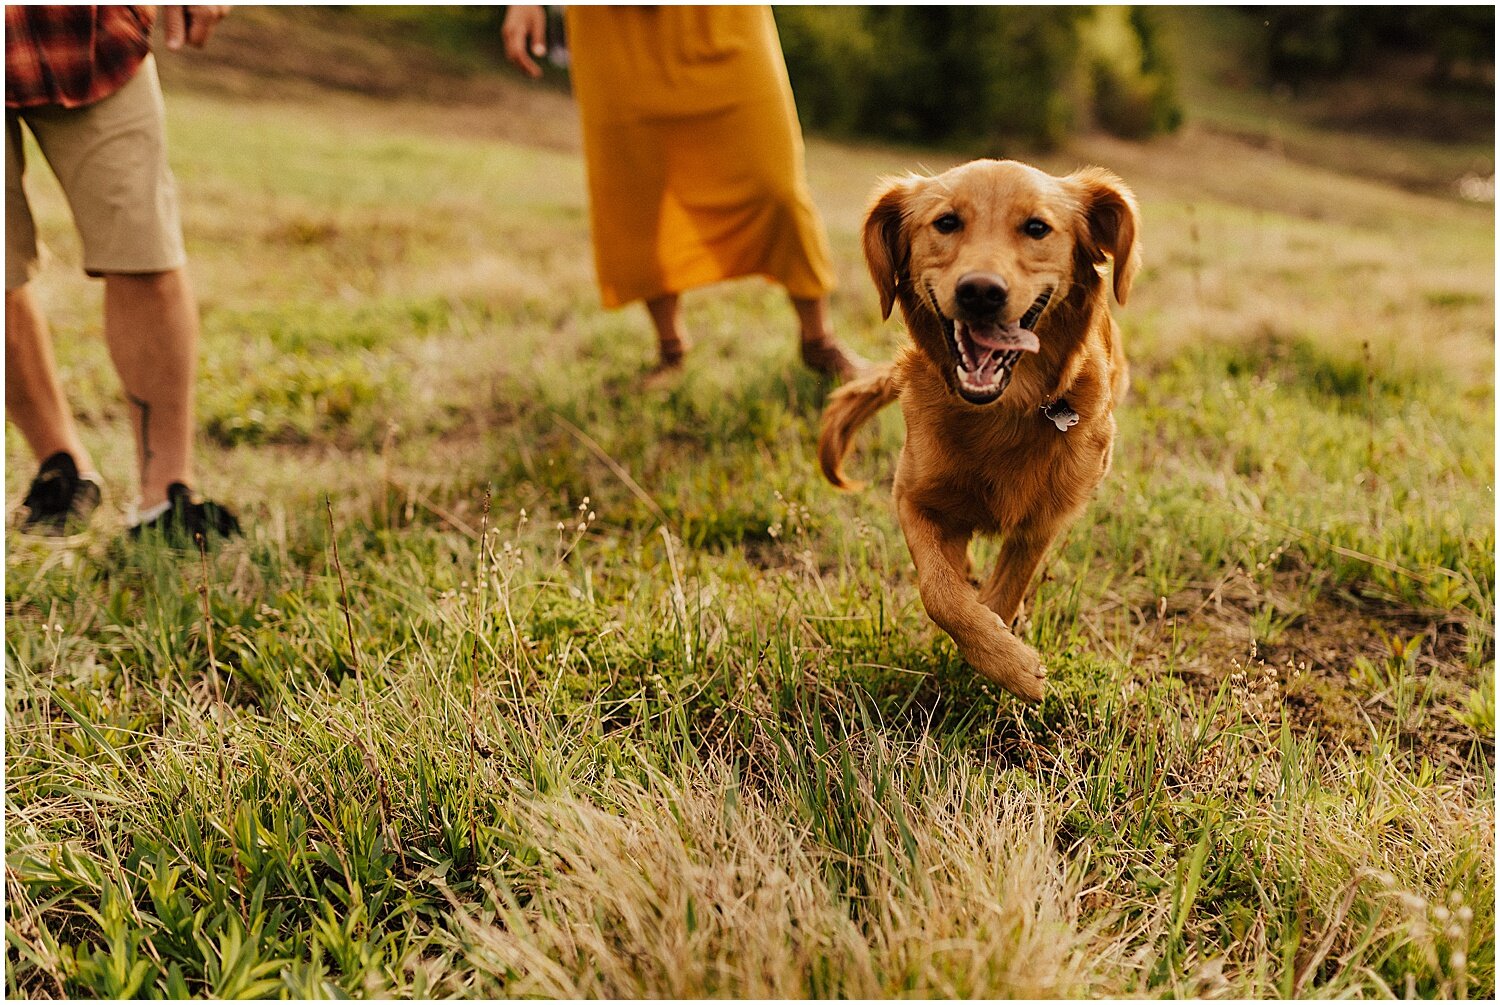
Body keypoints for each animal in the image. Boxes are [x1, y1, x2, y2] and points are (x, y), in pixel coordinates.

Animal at [822, 161, 1134, 705]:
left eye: (1037, 227)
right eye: (946, 222)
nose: (981, 292)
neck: (1001, 412)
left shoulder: (1043, 520)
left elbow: (1005, 590)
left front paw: (1005, 661)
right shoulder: (913, 497)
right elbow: (940, 592)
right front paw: (1006, 659)